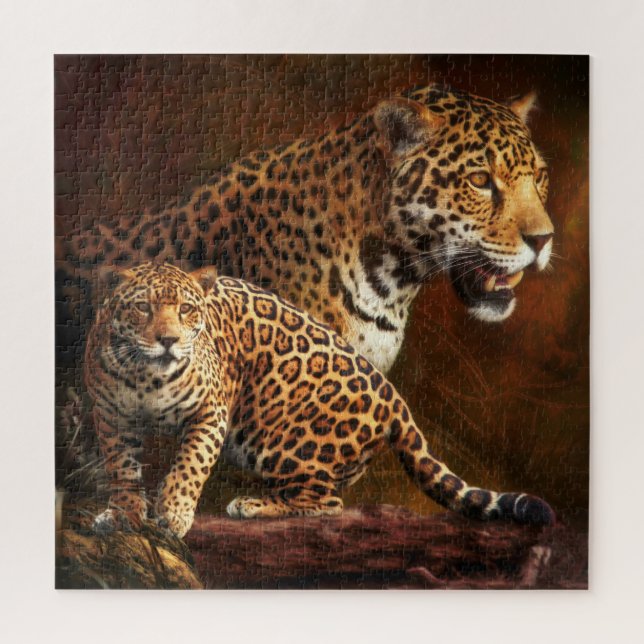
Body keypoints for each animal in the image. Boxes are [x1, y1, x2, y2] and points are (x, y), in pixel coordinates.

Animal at [85, 262, 555, 538]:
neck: (147, 377)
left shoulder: (210, 412)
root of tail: (393, 395)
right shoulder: (110, 417)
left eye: (186, 310)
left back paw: (253, 504)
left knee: (326, 503)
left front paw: (175, 513)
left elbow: (189, 465)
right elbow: (122, 470)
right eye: (142, 308)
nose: (168, 340)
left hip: (279, 439)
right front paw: (123, 515)